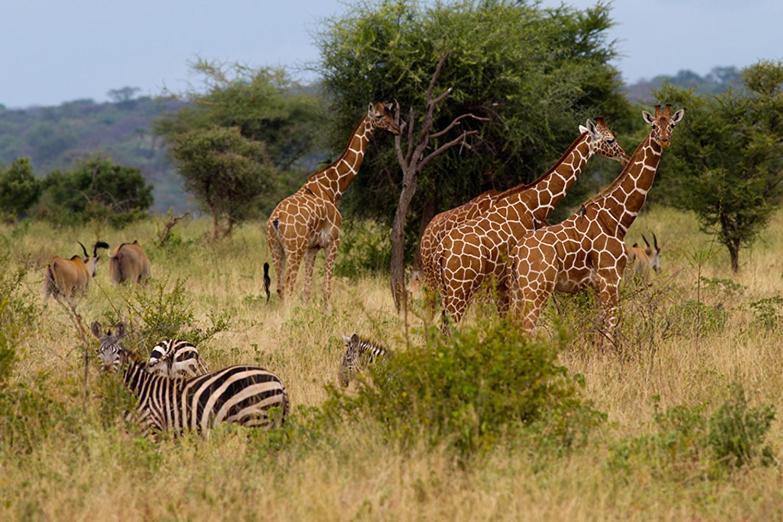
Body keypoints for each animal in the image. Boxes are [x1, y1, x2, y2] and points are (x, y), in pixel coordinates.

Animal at [270, 100, 404, 300]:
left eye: (390, 113)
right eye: (380, 116)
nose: (397, 129)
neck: (333, 188)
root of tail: (276, 220)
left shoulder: (312, 247)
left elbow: (307, 291)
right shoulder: (333, 241)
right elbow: (326, 289)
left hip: (276, 248)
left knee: (280, 289)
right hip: (295, 248)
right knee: (288, 287)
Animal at [434, 120, 632, 328]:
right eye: (610, 139)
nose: (624, 156)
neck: (534, 203)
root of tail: (441, 252)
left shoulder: (503, 280)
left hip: (446, 289)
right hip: (460, 287)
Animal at [508, 104, 688, 342]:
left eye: (672, 125)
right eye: (654, 126)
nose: (664, 139)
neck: (615, 217)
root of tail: (516, 254)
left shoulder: (596, 287)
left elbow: (596, 331)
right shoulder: (611, 280)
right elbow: (610, 331)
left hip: (517, 291)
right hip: (536, 289)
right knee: (525, 329)